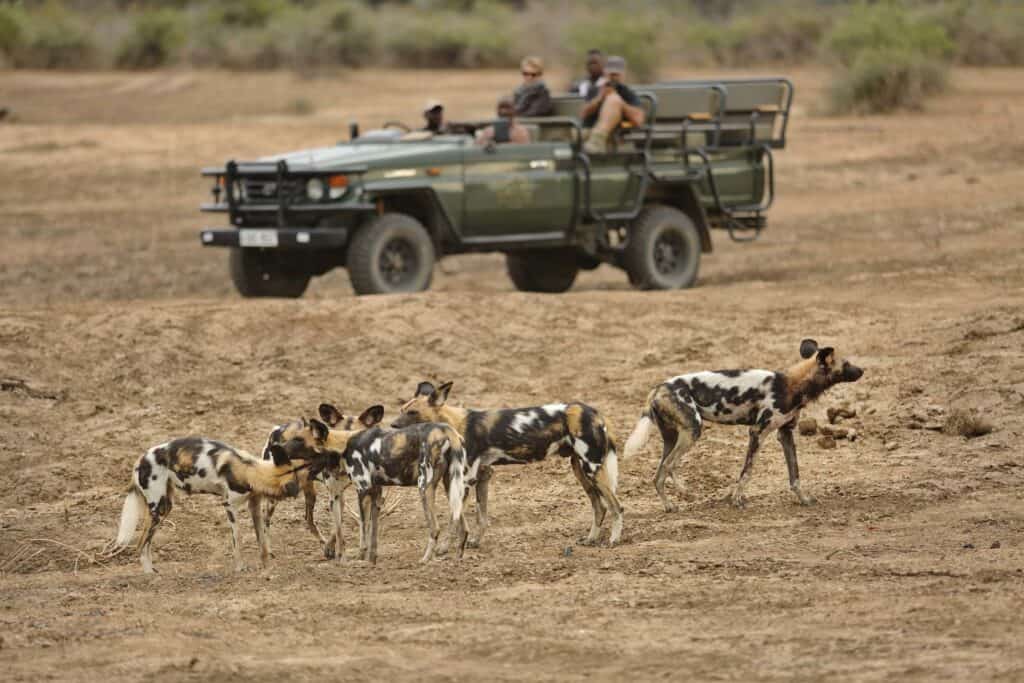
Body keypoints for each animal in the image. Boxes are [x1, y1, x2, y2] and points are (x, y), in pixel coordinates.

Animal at [114, 436, 303, 573]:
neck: (249, 470)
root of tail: (140, 460)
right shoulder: (229, 506)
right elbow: (237, 540)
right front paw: (240, 568)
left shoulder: (254, 507)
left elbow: (261, 540)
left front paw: (266, 567)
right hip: (158, 509)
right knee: (141, 544)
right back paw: (151, 578)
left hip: (165, 506)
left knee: (146, 544)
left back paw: (153, 572)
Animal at [282, 401, 468, 565]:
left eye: (298, 440)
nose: (279, 448)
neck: (342, 443)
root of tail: (446, 430)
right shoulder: (375, 495)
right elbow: (372, 535)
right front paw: (371, 561)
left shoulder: (362, 490)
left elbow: (363, 531)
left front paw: (358, 560)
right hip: (450, 485)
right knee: (461, 524)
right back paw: (457, 558)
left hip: (424, 487)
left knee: (435, 528)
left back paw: (425, 560)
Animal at [389, 382, 622, 548]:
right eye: (401, 409)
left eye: (412, 413)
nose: (392, 425)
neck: (453, 424)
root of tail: (594, 411)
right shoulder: (483, 476)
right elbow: (481, 517)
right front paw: (474, 542)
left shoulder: (466, 481)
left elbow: (455, 518)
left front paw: (445, 548)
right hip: (580, 469)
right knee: (600, 507)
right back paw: (591, 540)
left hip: (591, 468)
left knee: (616, 506)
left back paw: (613, 541)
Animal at [622, 339, 864, 509]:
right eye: (847, 364)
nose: (862, 370)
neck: (793, 386)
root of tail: (657, 389)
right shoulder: (757, 432)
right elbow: (746, 471)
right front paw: (736, 499)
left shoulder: (785, 434)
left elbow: (794, 475)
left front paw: (804, 499)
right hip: (693, 432)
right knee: (667, 468)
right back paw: (679, 499)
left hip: (673, 438)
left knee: (660, 471)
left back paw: (674, 501)